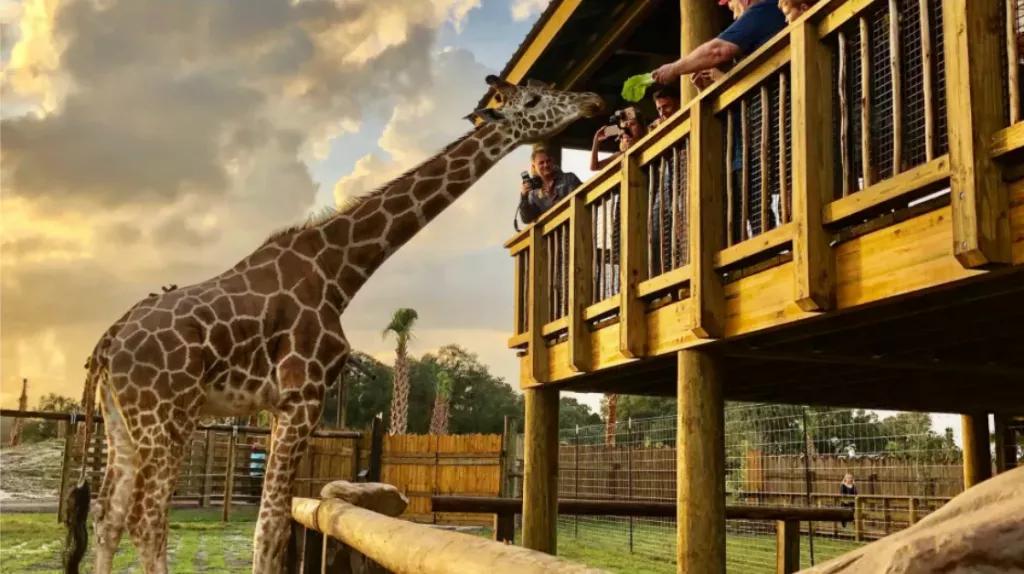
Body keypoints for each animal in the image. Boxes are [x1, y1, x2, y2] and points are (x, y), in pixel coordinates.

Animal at [66, 75, 603, 574]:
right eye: (533, 100)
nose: (592, 100)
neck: (338, 272)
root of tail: (108, 343)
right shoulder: (301, 397)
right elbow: (271, 529)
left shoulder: (281, 406)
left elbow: (270, 523)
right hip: (167, 415)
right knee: (147, 518)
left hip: (122, 421)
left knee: (109, 515)